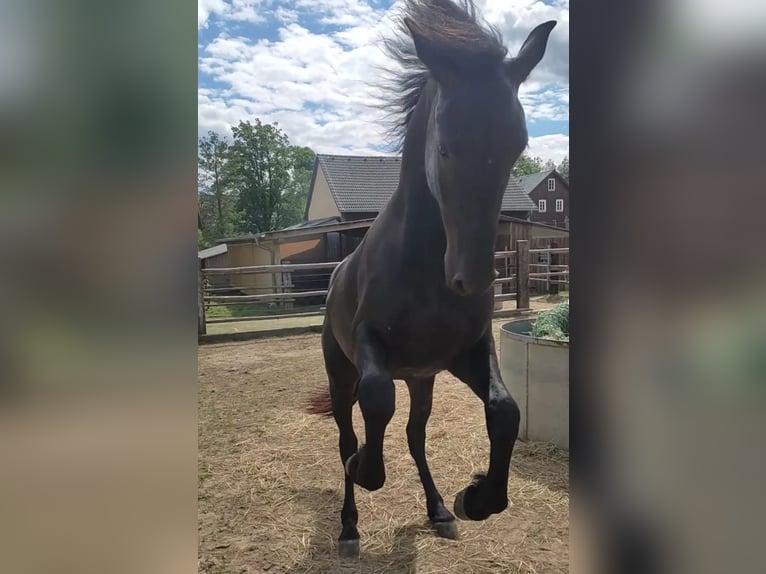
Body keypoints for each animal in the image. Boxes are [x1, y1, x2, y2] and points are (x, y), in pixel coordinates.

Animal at [320, 0, 560, 560]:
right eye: (446, 147)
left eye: (517, 145)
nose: (473, 279)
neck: (426, 271)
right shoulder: (370, 345)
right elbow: (376, 402)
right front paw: (365, 469)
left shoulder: (466, 352)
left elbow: (505, 411)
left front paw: (475, 499)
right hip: (340, 371)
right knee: (347, 434)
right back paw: (348, 528)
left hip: (423, 377)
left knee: (414, 435)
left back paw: (438, 511)